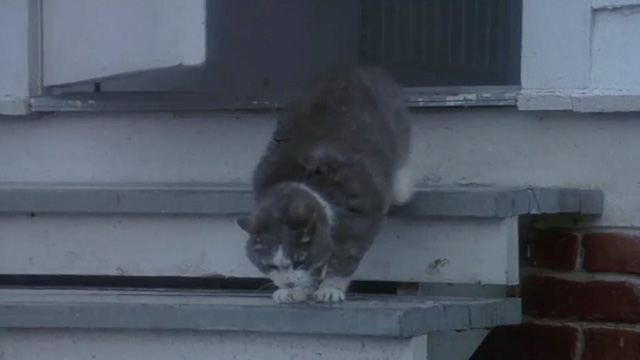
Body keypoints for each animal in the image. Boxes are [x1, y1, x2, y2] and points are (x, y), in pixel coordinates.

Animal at [238, 65, 412, 304]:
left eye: (299, 259)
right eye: (270, 265)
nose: (288, 282)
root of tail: (354, 66)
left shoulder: (361, 218)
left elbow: (344, 260)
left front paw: (330, 289)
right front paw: (297, 291)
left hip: (397, 126)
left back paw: (402, 189)